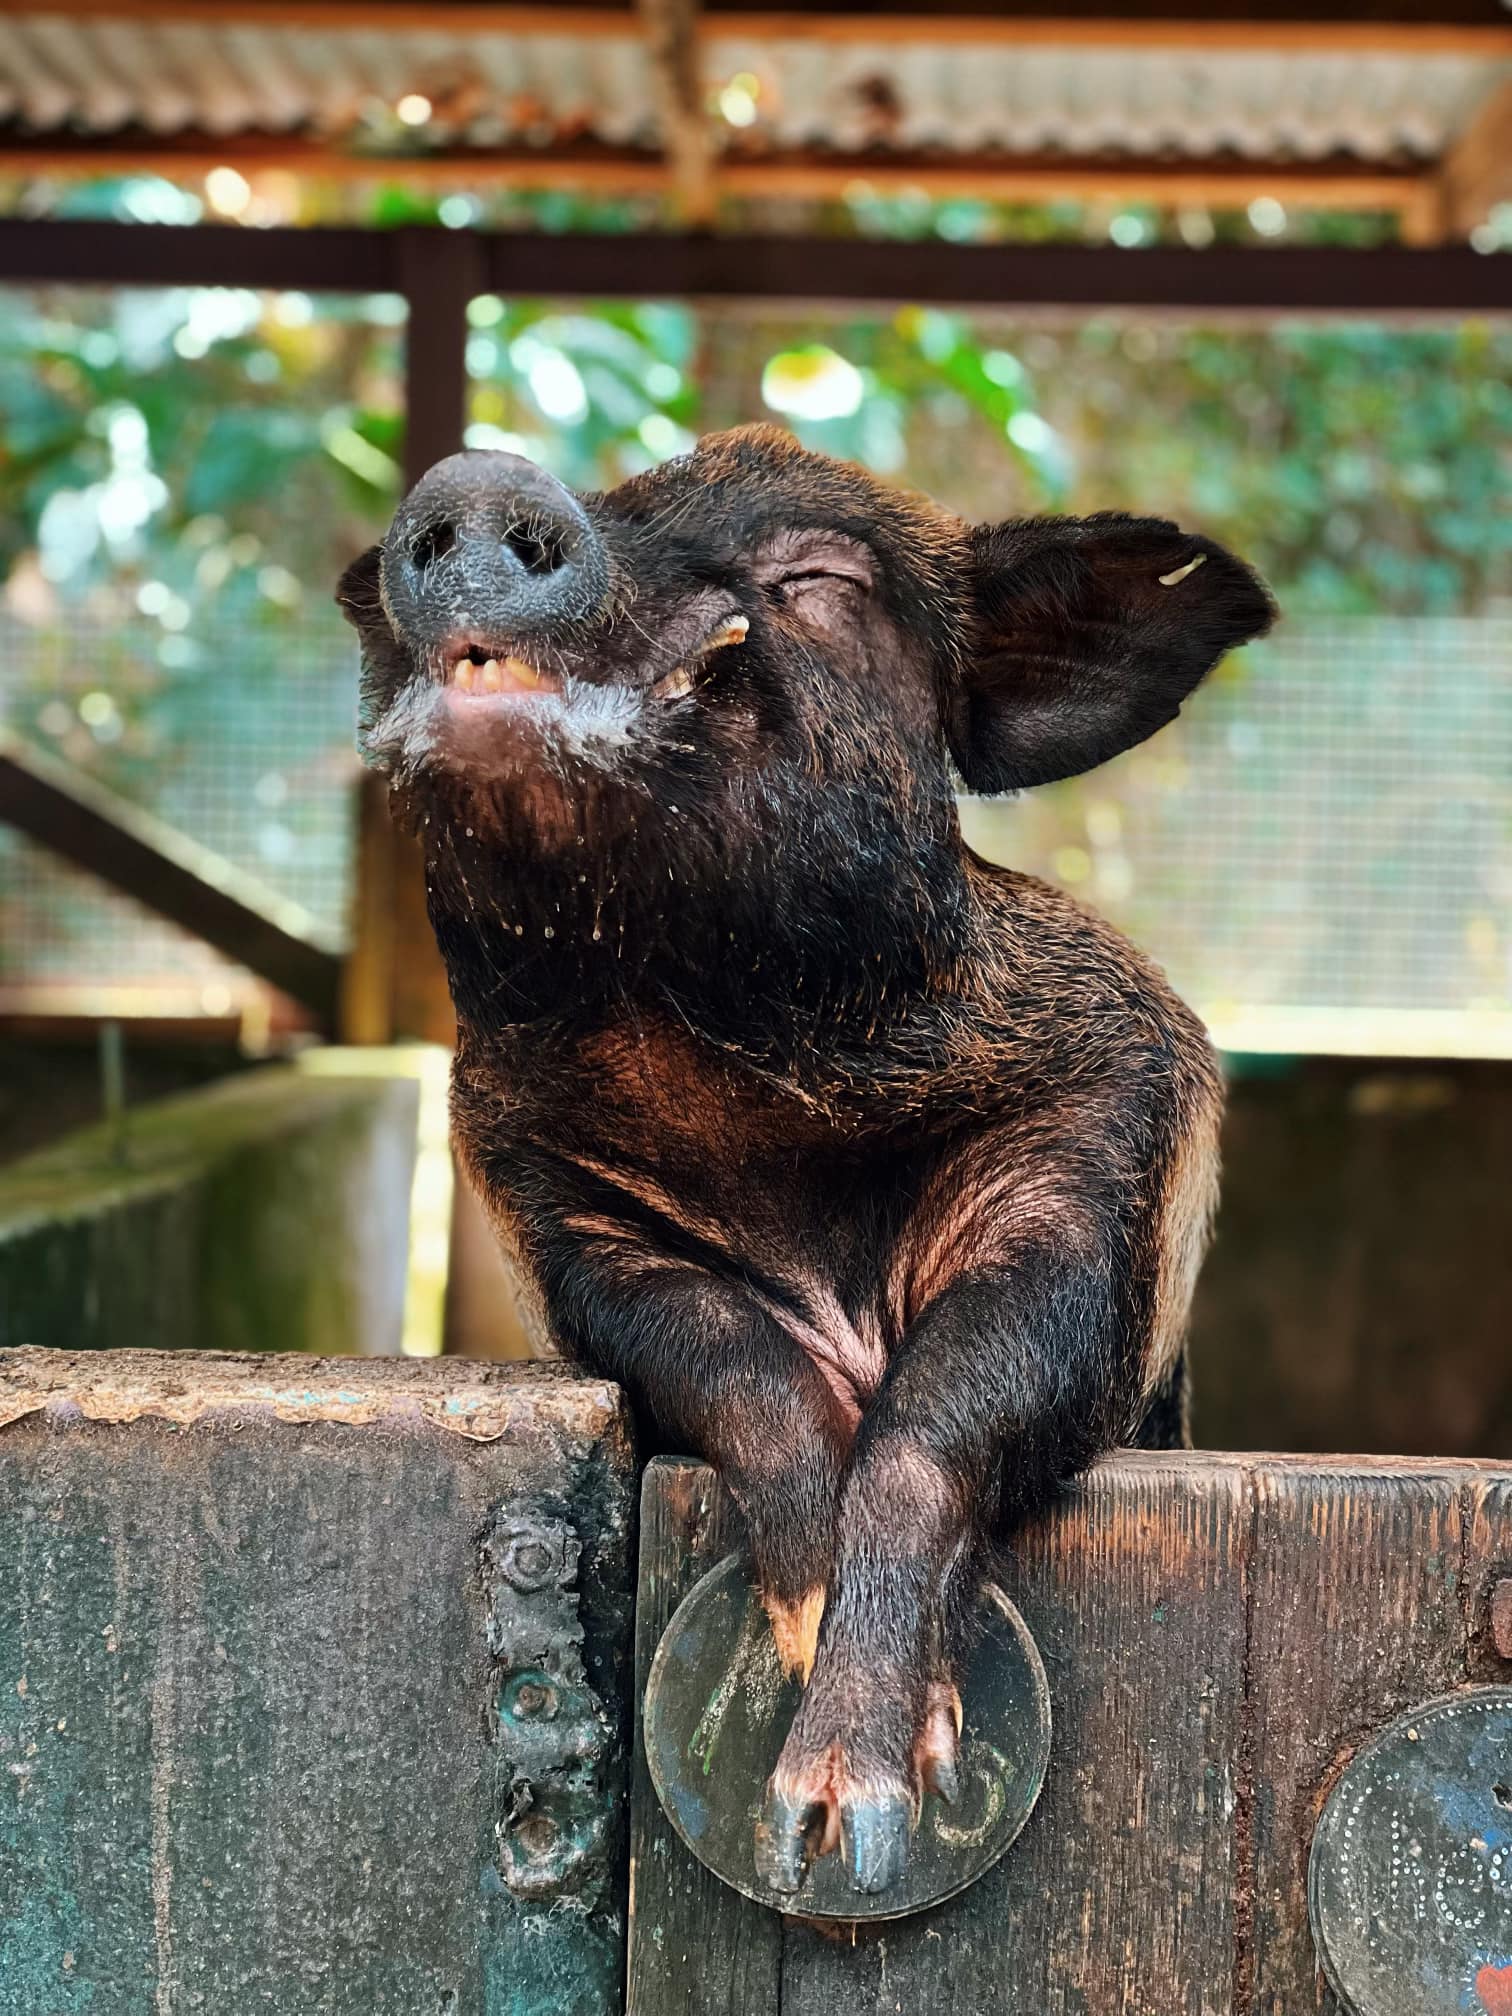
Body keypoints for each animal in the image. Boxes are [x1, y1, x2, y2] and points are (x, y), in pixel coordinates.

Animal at [337, 425, 1274, 1897]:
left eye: (822, 577)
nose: (483, 475)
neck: (754, 1093)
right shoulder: (555, 1214)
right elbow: (735, 1367)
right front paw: (796, 1653)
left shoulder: (1106, 1143)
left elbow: (945, 1414)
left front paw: (849, 1814)